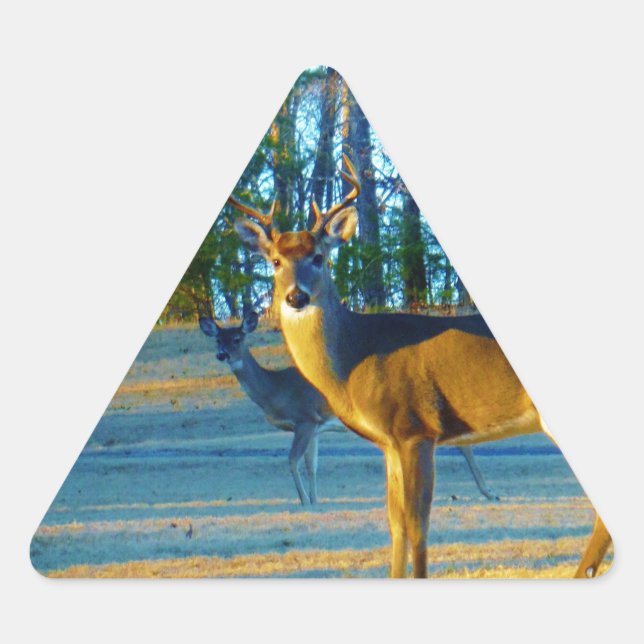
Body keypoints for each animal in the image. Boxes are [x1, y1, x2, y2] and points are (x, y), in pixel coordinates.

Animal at [200, 309, 501, 507]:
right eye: (218, 339)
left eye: (238, 337)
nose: (222, 354)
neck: (276, 389)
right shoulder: (316, 427)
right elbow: (312, 464)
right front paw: (315, 499)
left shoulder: (305, 418)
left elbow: (292, 459)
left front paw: (304, 501)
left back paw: (489, 492)